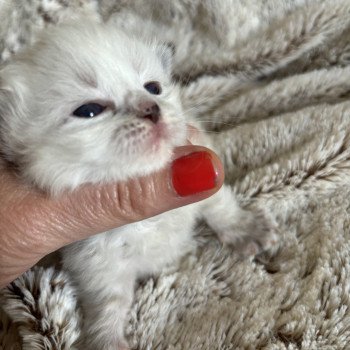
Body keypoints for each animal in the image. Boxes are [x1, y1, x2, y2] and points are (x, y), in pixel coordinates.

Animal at [0, 21, 278, 350]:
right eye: (90, 111)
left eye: (153, 88)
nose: (152, 108)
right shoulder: (96, 260)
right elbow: (108, 302)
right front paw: (107, 339)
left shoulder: (200, 159)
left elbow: (219, 204)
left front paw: (246, 229)